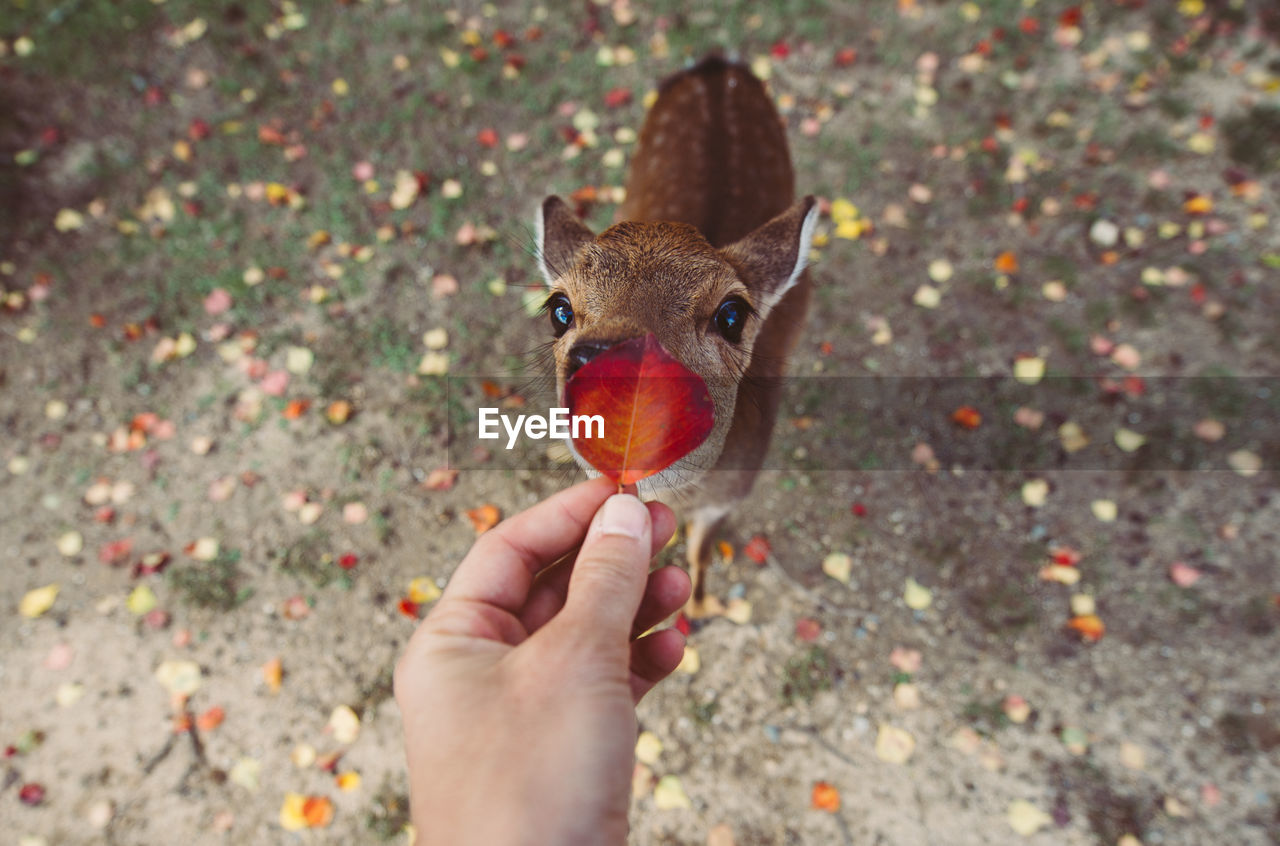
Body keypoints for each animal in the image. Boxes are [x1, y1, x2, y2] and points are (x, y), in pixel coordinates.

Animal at [532, 55, 814, 616]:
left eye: (732, 314)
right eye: (559, 310)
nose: (609, 360)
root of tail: (715, 63)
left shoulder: (729, 497)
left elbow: (703, 548)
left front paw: (699, 610)